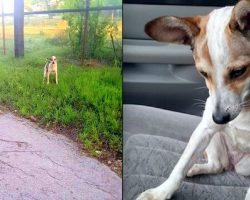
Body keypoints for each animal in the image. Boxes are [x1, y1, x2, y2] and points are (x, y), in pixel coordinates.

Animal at [138, 0, 250, 200]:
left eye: (239, 71)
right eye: (203, 73)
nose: (219, 119)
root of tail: (234, 165)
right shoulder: (204, 129)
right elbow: (179, 167)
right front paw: (160, 193)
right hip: (214, 139)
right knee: (217, 165)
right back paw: (196, 167)